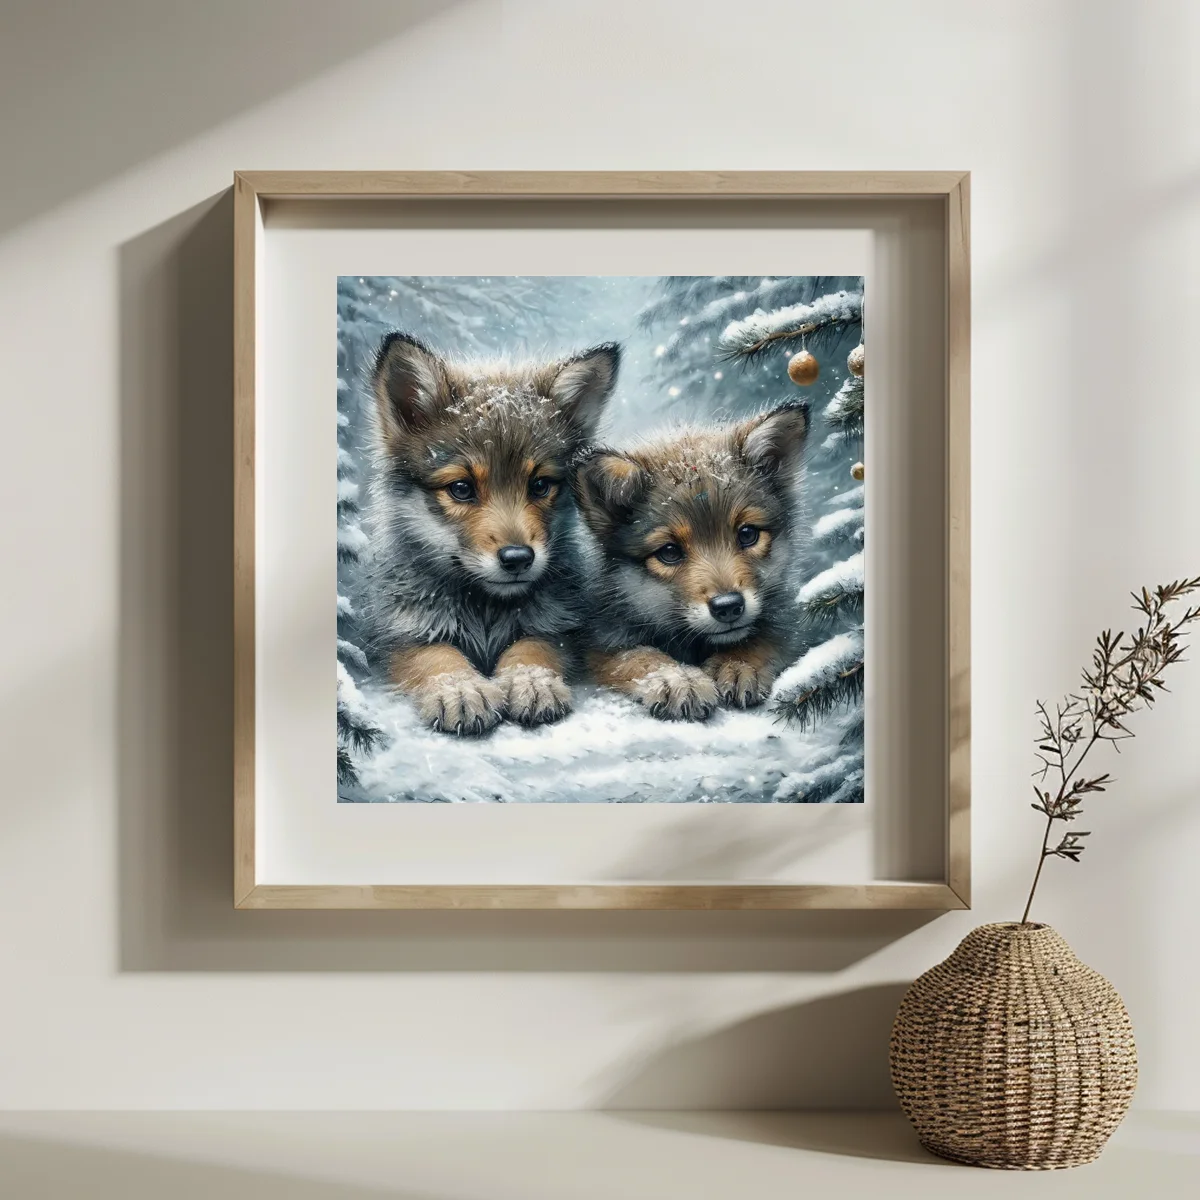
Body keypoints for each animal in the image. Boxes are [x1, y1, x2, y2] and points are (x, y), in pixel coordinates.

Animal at [363, 332, 620, 735]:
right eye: (461, 489)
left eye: (540, 485)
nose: (518, 559)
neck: (484, 611)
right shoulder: (403, 636)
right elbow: (438, 657)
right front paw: (460, 689)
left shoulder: (558, 626)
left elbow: (532, 647)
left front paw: (531, 680)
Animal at [573, 402, 809, 720]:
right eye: (670, 552)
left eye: (747, 534)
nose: (728, 607)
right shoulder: (601, 640)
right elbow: (638, 656)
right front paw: (677, 678)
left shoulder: (787, 618)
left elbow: (764, 636)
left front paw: (738, 663)